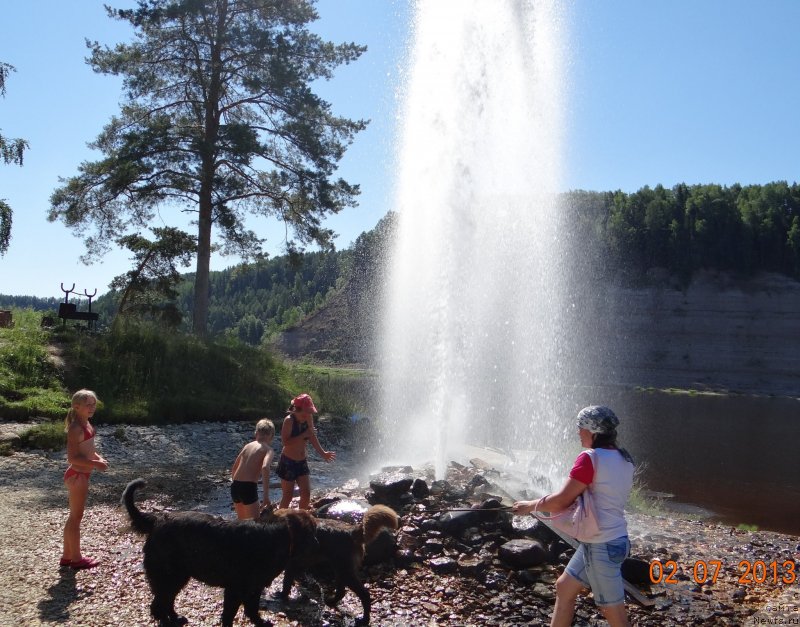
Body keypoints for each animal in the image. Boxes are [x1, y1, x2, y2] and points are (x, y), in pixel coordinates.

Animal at [122, 480, 316, 627]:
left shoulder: (252, 587)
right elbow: (232, 613)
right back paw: (168, 621)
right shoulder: (237, 588)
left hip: (178, 576)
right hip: (169, 575)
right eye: (312, 530)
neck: (278, 534)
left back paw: (176, 618)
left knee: (166, 601)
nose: (316, 542)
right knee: (158, 604)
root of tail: (157, 520)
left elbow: (250, 609)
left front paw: (260, 622)